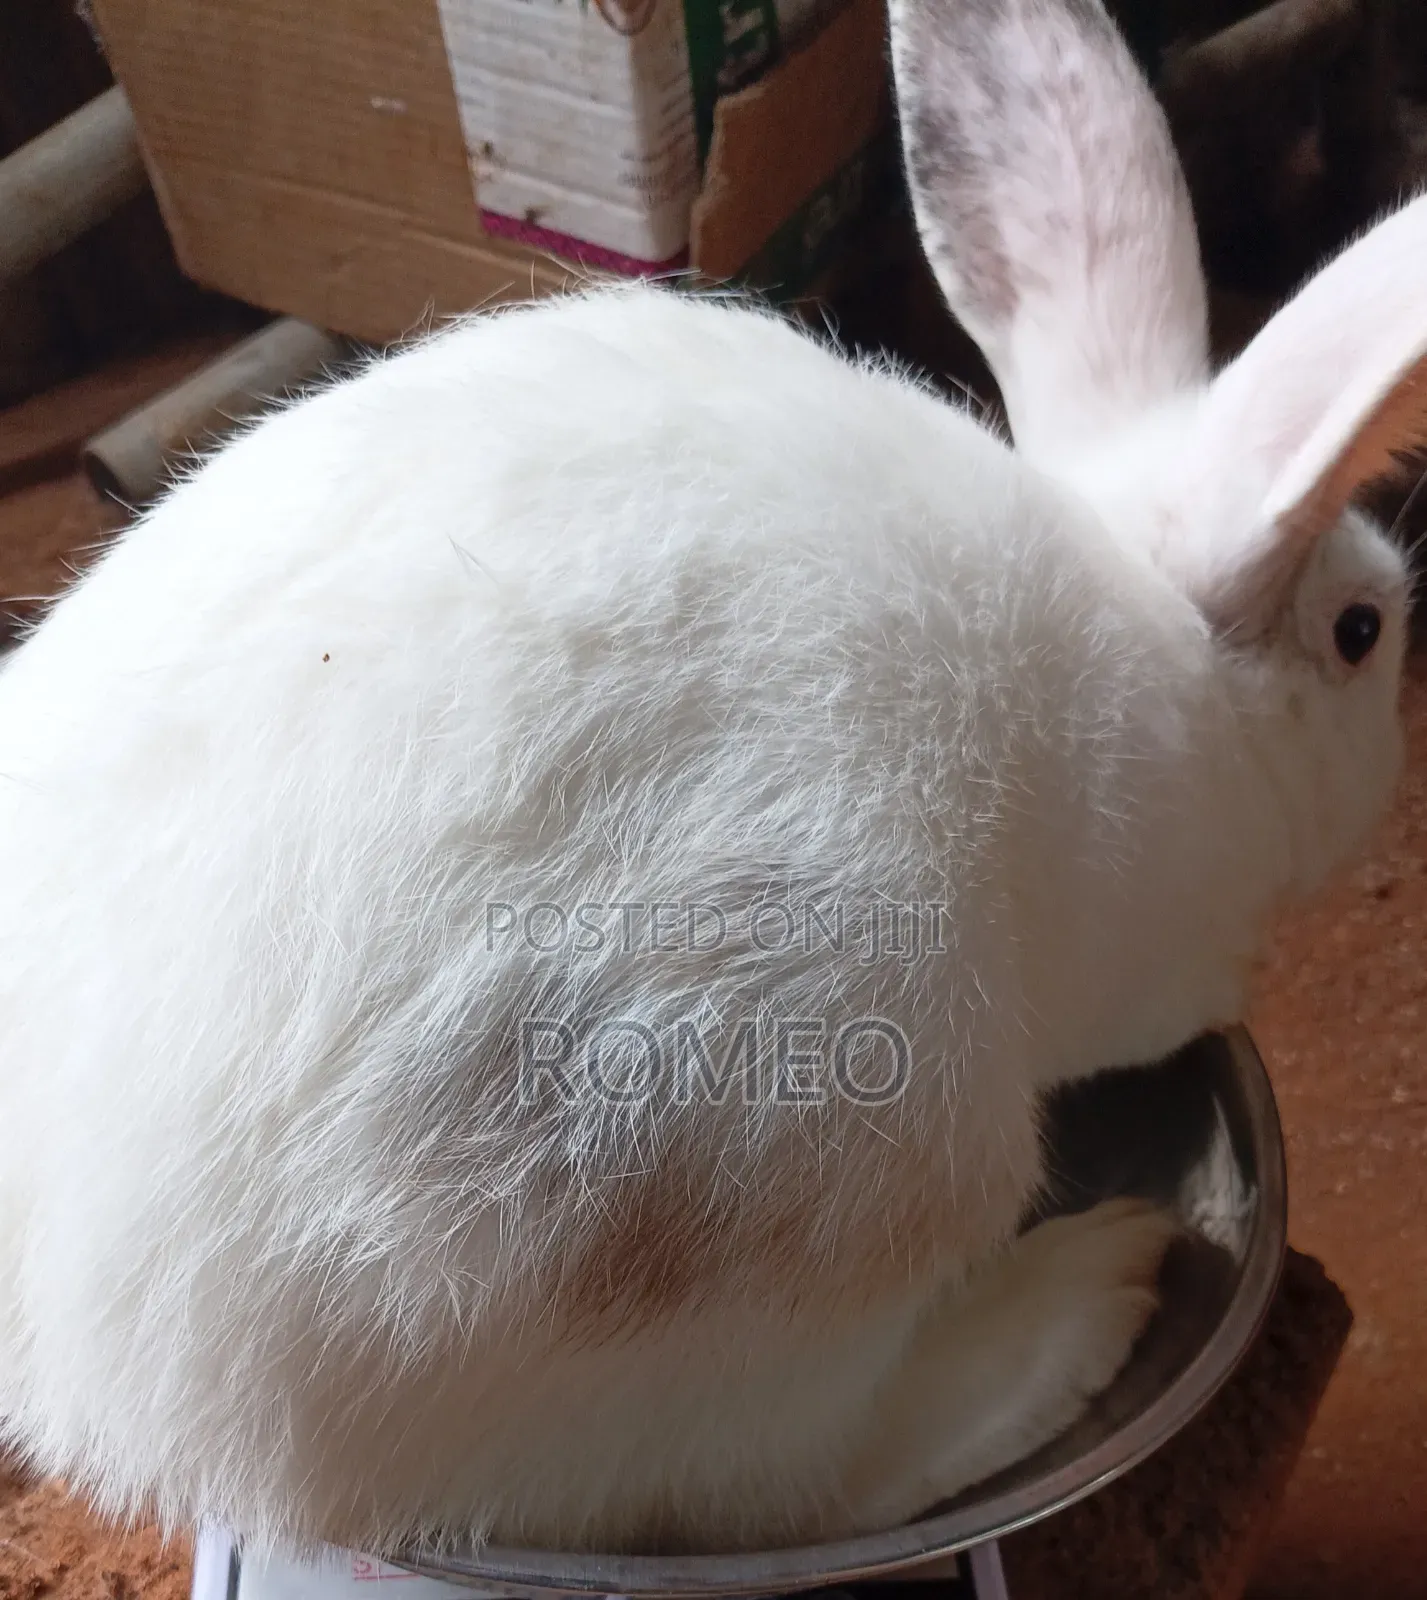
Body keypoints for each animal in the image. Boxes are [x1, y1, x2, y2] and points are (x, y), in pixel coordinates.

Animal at [1, 0, 1425, 1563]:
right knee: (779, 1475)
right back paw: (1082, 1297)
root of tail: (115, 1367)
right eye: (1360, 631)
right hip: (831, 1159)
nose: (1388, 725)